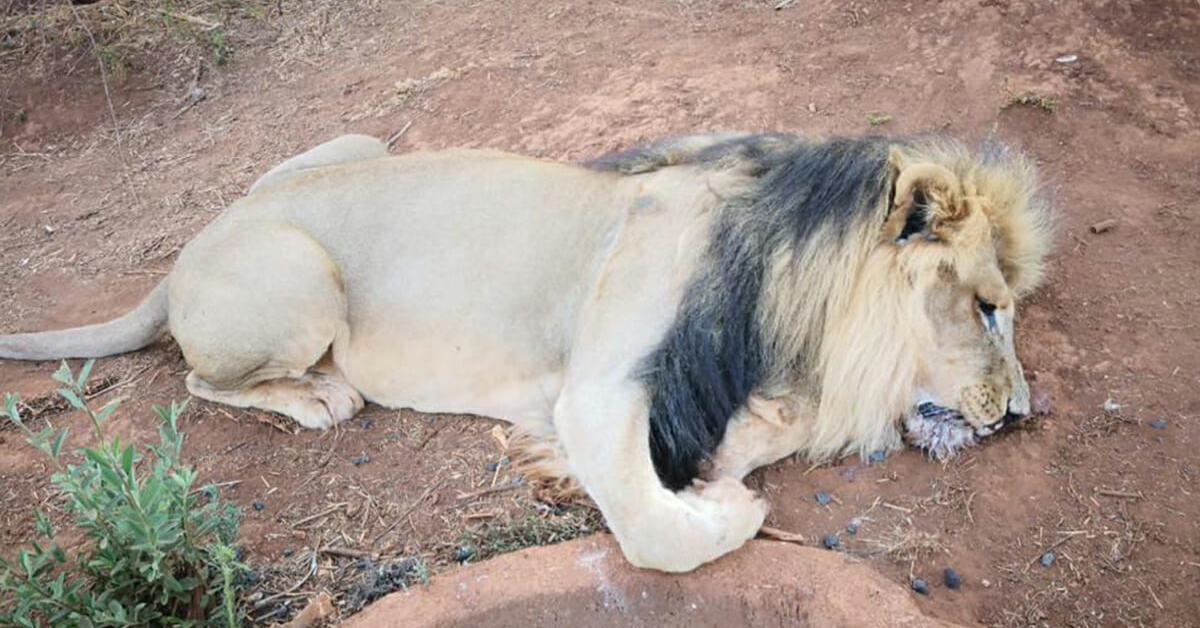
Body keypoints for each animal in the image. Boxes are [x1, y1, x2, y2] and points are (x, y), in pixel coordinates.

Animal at [0, 132, 1051, 573]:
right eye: (987, 308)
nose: (1021, 412)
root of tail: (193, 245)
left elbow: (761, 432)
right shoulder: (598, 388)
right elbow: (656, 532)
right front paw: (727, 513)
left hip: (354, 142)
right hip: (300, 279)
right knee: (195, 375)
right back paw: (316, 396)